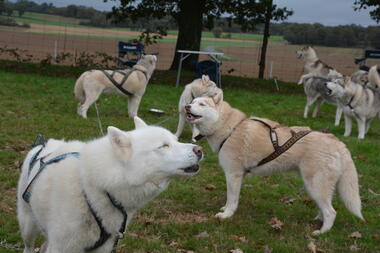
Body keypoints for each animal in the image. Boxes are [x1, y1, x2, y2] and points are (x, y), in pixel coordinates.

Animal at [17, 116, 202, 253]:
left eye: (176, 141)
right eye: (164, 146)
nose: (200, 149)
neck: (92, 190)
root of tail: (42, 145)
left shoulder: (104, 247)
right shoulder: (62, 246)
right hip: (28, 226)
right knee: (29, 247)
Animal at [187, 92, 366, 234]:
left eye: (202, 104)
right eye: (193, 101)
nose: (187, 106)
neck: (229, 128)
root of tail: (338, 143)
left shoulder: (233, 174)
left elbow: (232, 199)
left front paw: (226, 215)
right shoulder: (239, 176)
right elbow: (232, 199)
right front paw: (226, 209)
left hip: (315, 185)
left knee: (331, 212)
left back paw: (321, 232)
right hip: (314, 187)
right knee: (325, 208)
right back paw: (317, 221)